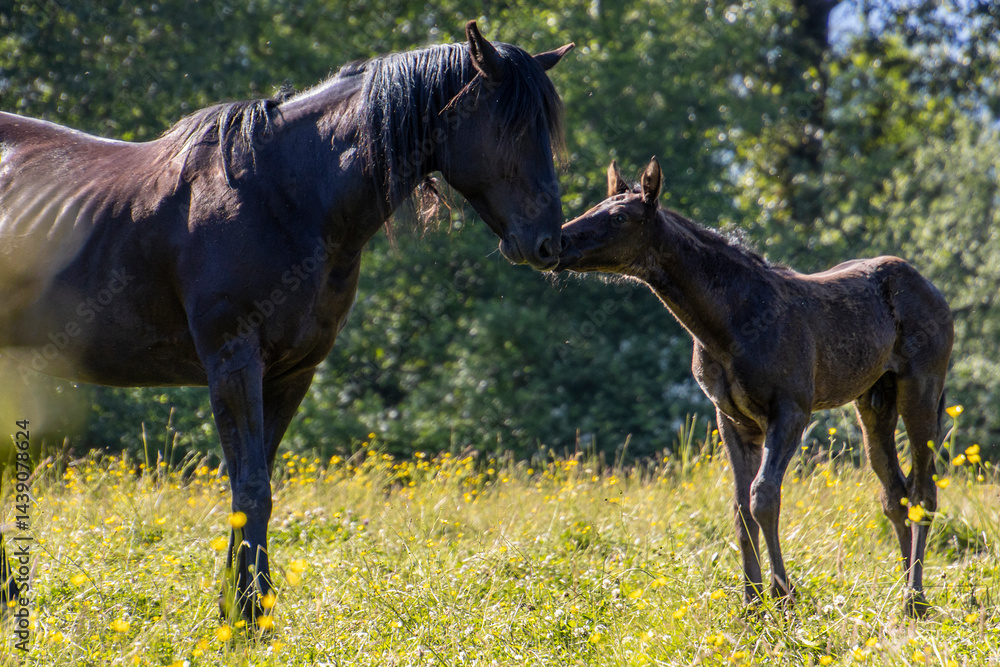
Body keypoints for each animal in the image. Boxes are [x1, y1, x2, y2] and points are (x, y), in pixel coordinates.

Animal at [0, 21, 573, 624]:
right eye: (510, 126)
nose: (548, 244)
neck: (284, 198)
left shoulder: (293, 372)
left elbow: (256, 485)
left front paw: (241, 610)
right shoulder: (233, 363)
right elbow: (252, 487)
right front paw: (250, 614)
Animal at [554, 158, 953, 617]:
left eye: (619, 217)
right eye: (597, 206)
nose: (557, 243)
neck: (731, 323)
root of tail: (933, 291)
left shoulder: (791, 411)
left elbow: (764, 497)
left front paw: (783, 595)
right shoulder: (732, 419)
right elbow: (740, 506)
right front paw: (751, 603)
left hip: (920, 390)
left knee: (923, 491)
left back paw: (916, 599)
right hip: (873, 401)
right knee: (894, 492)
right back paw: (903, 593)